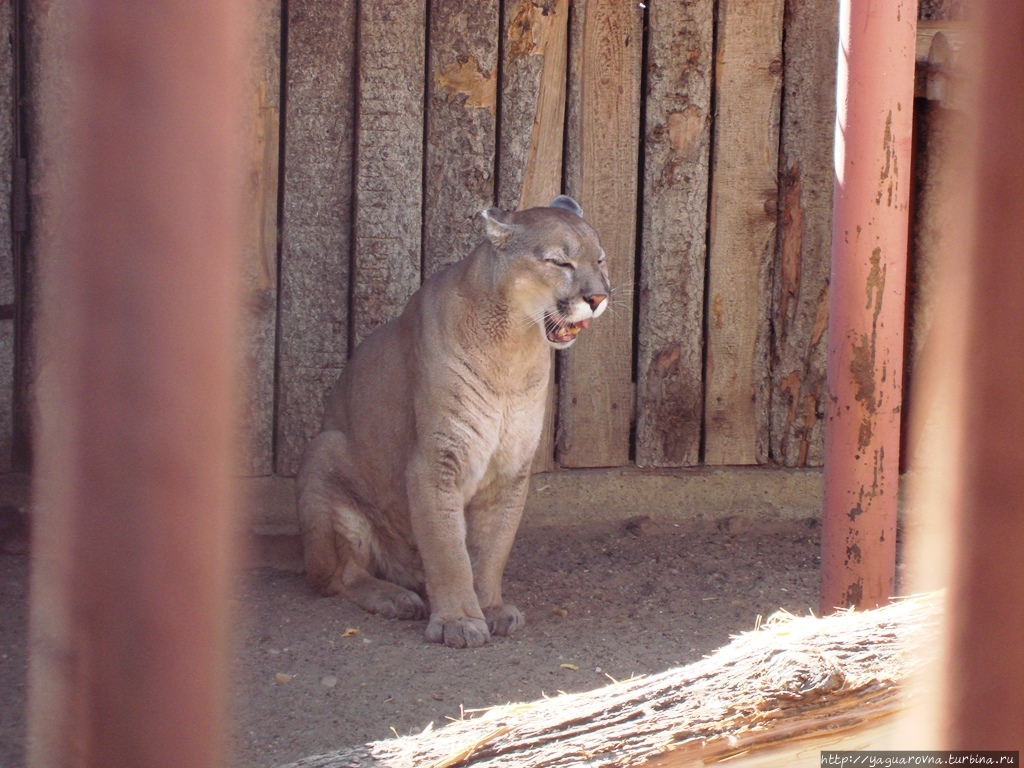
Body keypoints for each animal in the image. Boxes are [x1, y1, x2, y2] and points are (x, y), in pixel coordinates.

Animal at [299, 198, 610, 651]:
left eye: (599, 259)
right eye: (560, 262)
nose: (599, 296)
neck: (512, 349)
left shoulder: (511, 467)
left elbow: (491, 547)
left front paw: (490, 607)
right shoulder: (436, 459)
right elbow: (448, 550)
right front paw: (459, 620)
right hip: (324, 450)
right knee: (337, 577)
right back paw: (395, 598)